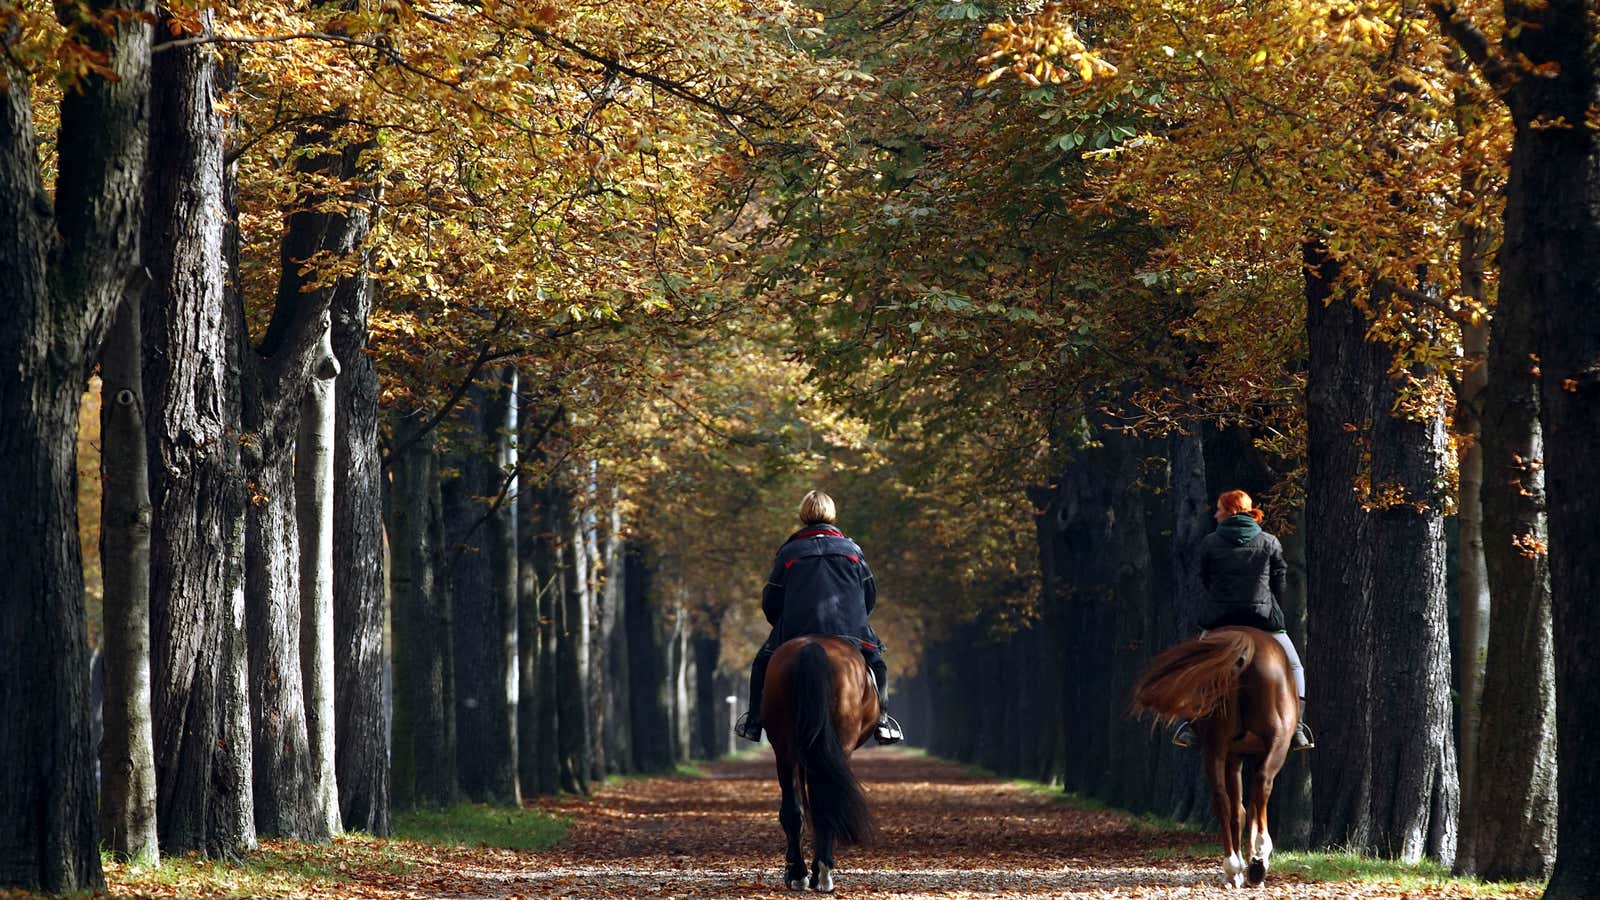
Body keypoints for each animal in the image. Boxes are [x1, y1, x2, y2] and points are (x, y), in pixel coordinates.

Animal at [758, 630, 876, 890]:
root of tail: (812, 646)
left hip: (787, 750)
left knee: (798, 809)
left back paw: (803, 873)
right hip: (834, 745)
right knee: (824, 801)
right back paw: (819, 872)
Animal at [1132, 624, 1292, 883]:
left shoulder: (1234, 756)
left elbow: (1239, 810)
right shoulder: (1247, 755)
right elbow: (1248, 807)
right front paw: (1254, 859)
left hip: (1214, 745)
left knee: (1221, 798)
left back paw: (1233, 866)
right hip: (1278, 739)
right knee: (1262, 782)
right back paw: (1258, 858)